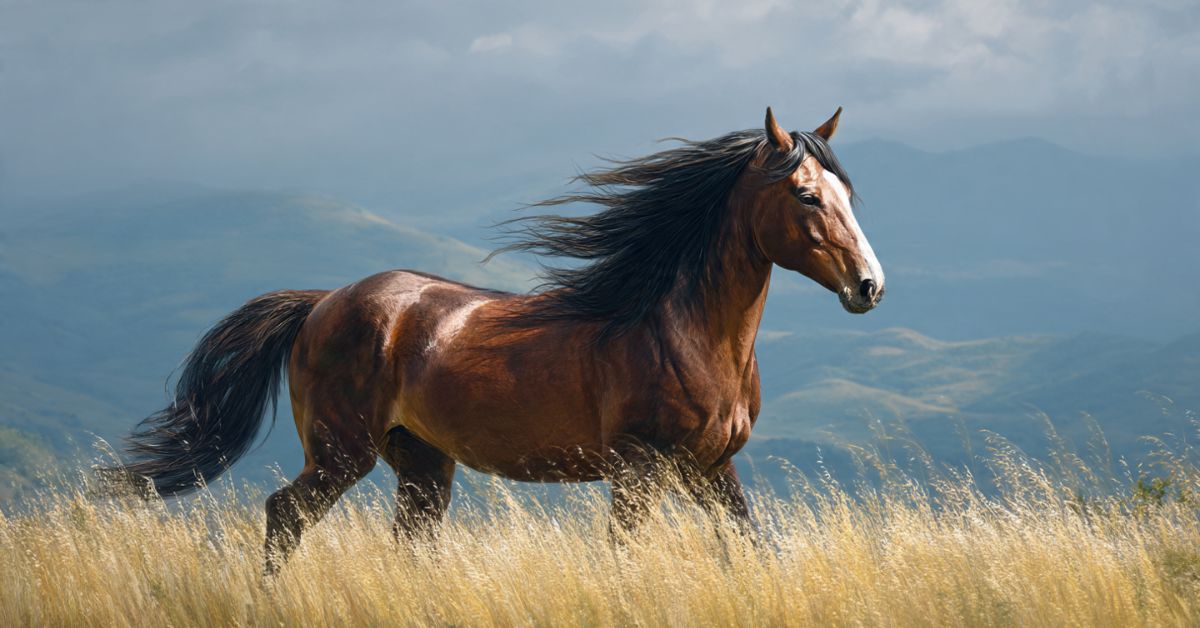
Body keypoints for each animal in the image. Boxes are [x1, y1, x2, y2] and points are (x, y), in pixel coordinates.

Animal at [105, 107, 885, 574]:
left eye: (849, 195)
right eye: (806, 195)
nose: (869, 287)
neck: (684, 334)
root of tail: (322, 303)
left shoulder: (712, 466)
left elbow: (746, 548)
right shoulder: (637, 468)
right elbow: (620, 556)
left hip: (421, 462)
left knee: (409, 542)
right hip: (341, 453)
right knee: (285, 516)